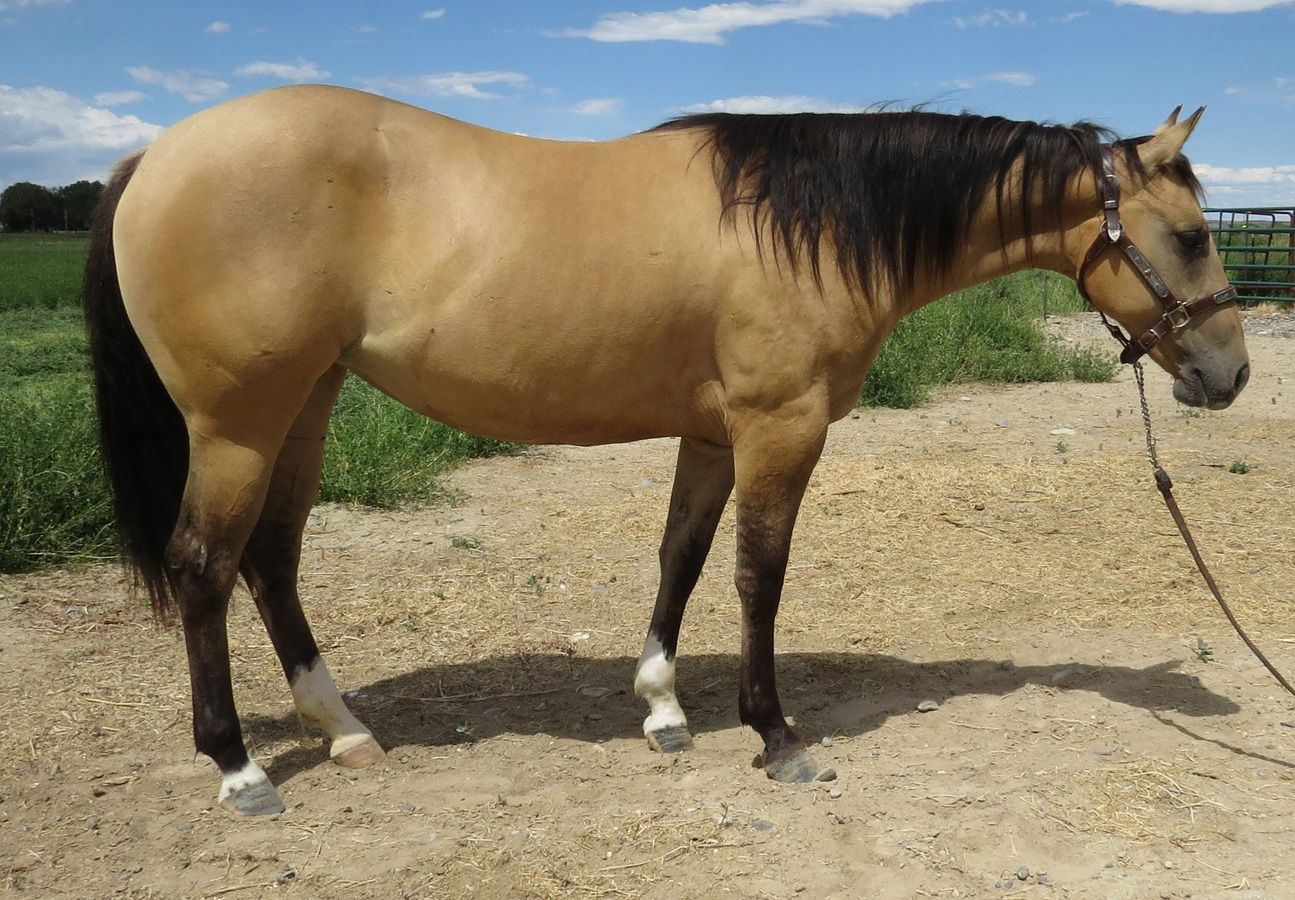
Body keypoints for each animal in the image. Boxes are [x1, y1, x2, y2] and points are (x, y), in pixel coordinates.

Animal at [82, 86, 1249, 816]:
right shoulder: (780, 426)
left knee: (271, 561)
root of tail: (155, 155)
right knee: (204, 568)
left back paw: (342, 729)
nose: (1230, 376)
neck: (809, 225)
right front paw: (774, 735)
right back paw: (239, 769)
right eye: (1192, 236)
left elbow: (680, 561)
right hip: (238, 421)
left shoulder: (709, 433)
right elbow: (758, 576)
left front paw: (663, 709)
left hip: (306, 403)